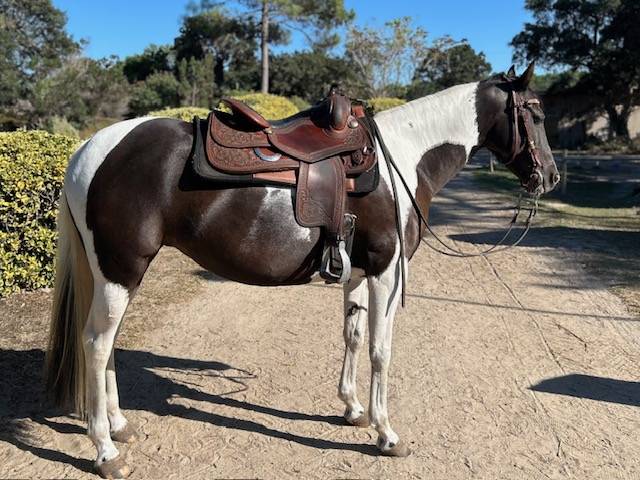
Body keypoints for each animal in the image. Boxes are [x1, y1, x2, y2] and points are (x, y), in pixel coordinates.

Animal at [45, 63, 559, 478]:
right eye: (534, 114)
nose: (551, 177)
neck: (405, 157)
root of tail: (90, 148)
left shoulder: (357, 273)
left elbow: (353, 336)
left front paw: (352, 408)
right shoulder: (386, 272)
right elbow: (381, 351)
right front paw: (385, 432)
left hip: (118, 273)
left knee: (108, 343)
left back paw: (119, 424)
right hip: (121, 269)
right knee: (96, 344)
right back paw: (106, 451)